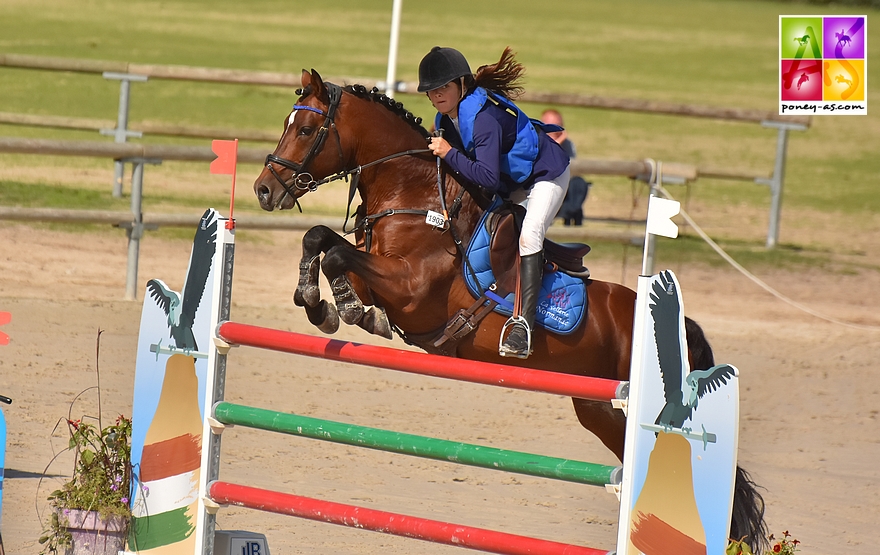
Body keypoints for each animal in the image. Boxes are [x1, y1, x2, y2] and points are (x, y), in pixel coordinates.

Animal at [253, 70, 764, 552]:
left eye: (305, 129)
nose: (262, 190)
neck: (414, 195)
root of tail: (681, 328)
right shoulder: (379, 275)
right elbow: (321, 241)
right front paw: (319, 303)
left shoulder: (410, 288)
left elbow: (337, 255)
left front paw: (338, 307)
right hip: (598, 408)